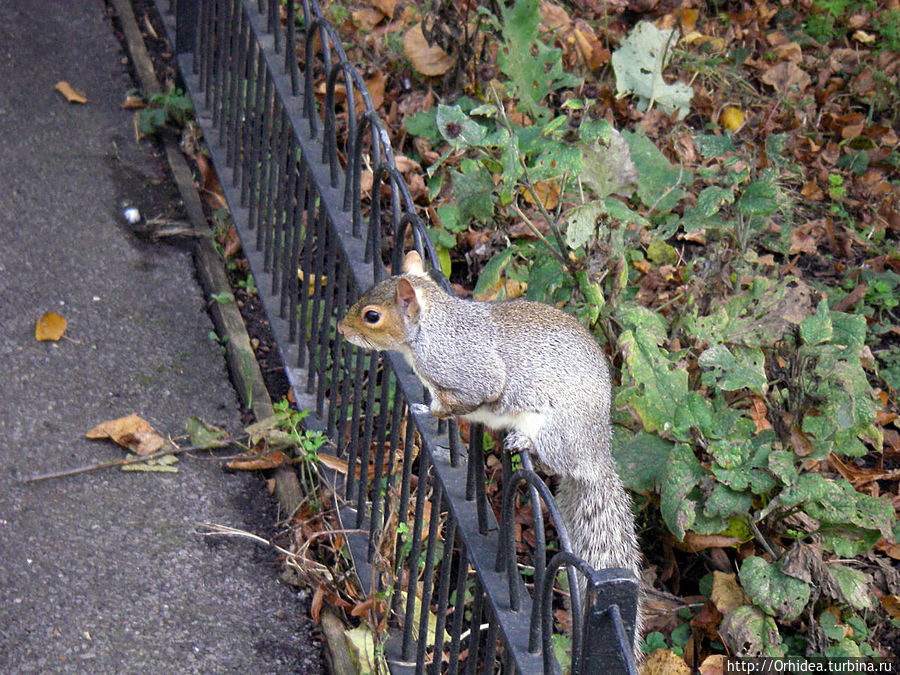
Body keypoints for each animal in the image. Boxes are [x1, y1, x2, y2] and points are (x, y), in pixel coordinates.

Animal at [336, 251, 640, 652]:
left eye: (372, 315)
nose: (342, 329)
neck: (433, 330)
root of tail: (596, 453)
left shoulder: (471, 376)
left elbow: (460, 402)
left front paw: (427, 410)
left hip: (555, 430)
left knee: (554, 457)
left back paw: (523, 442)